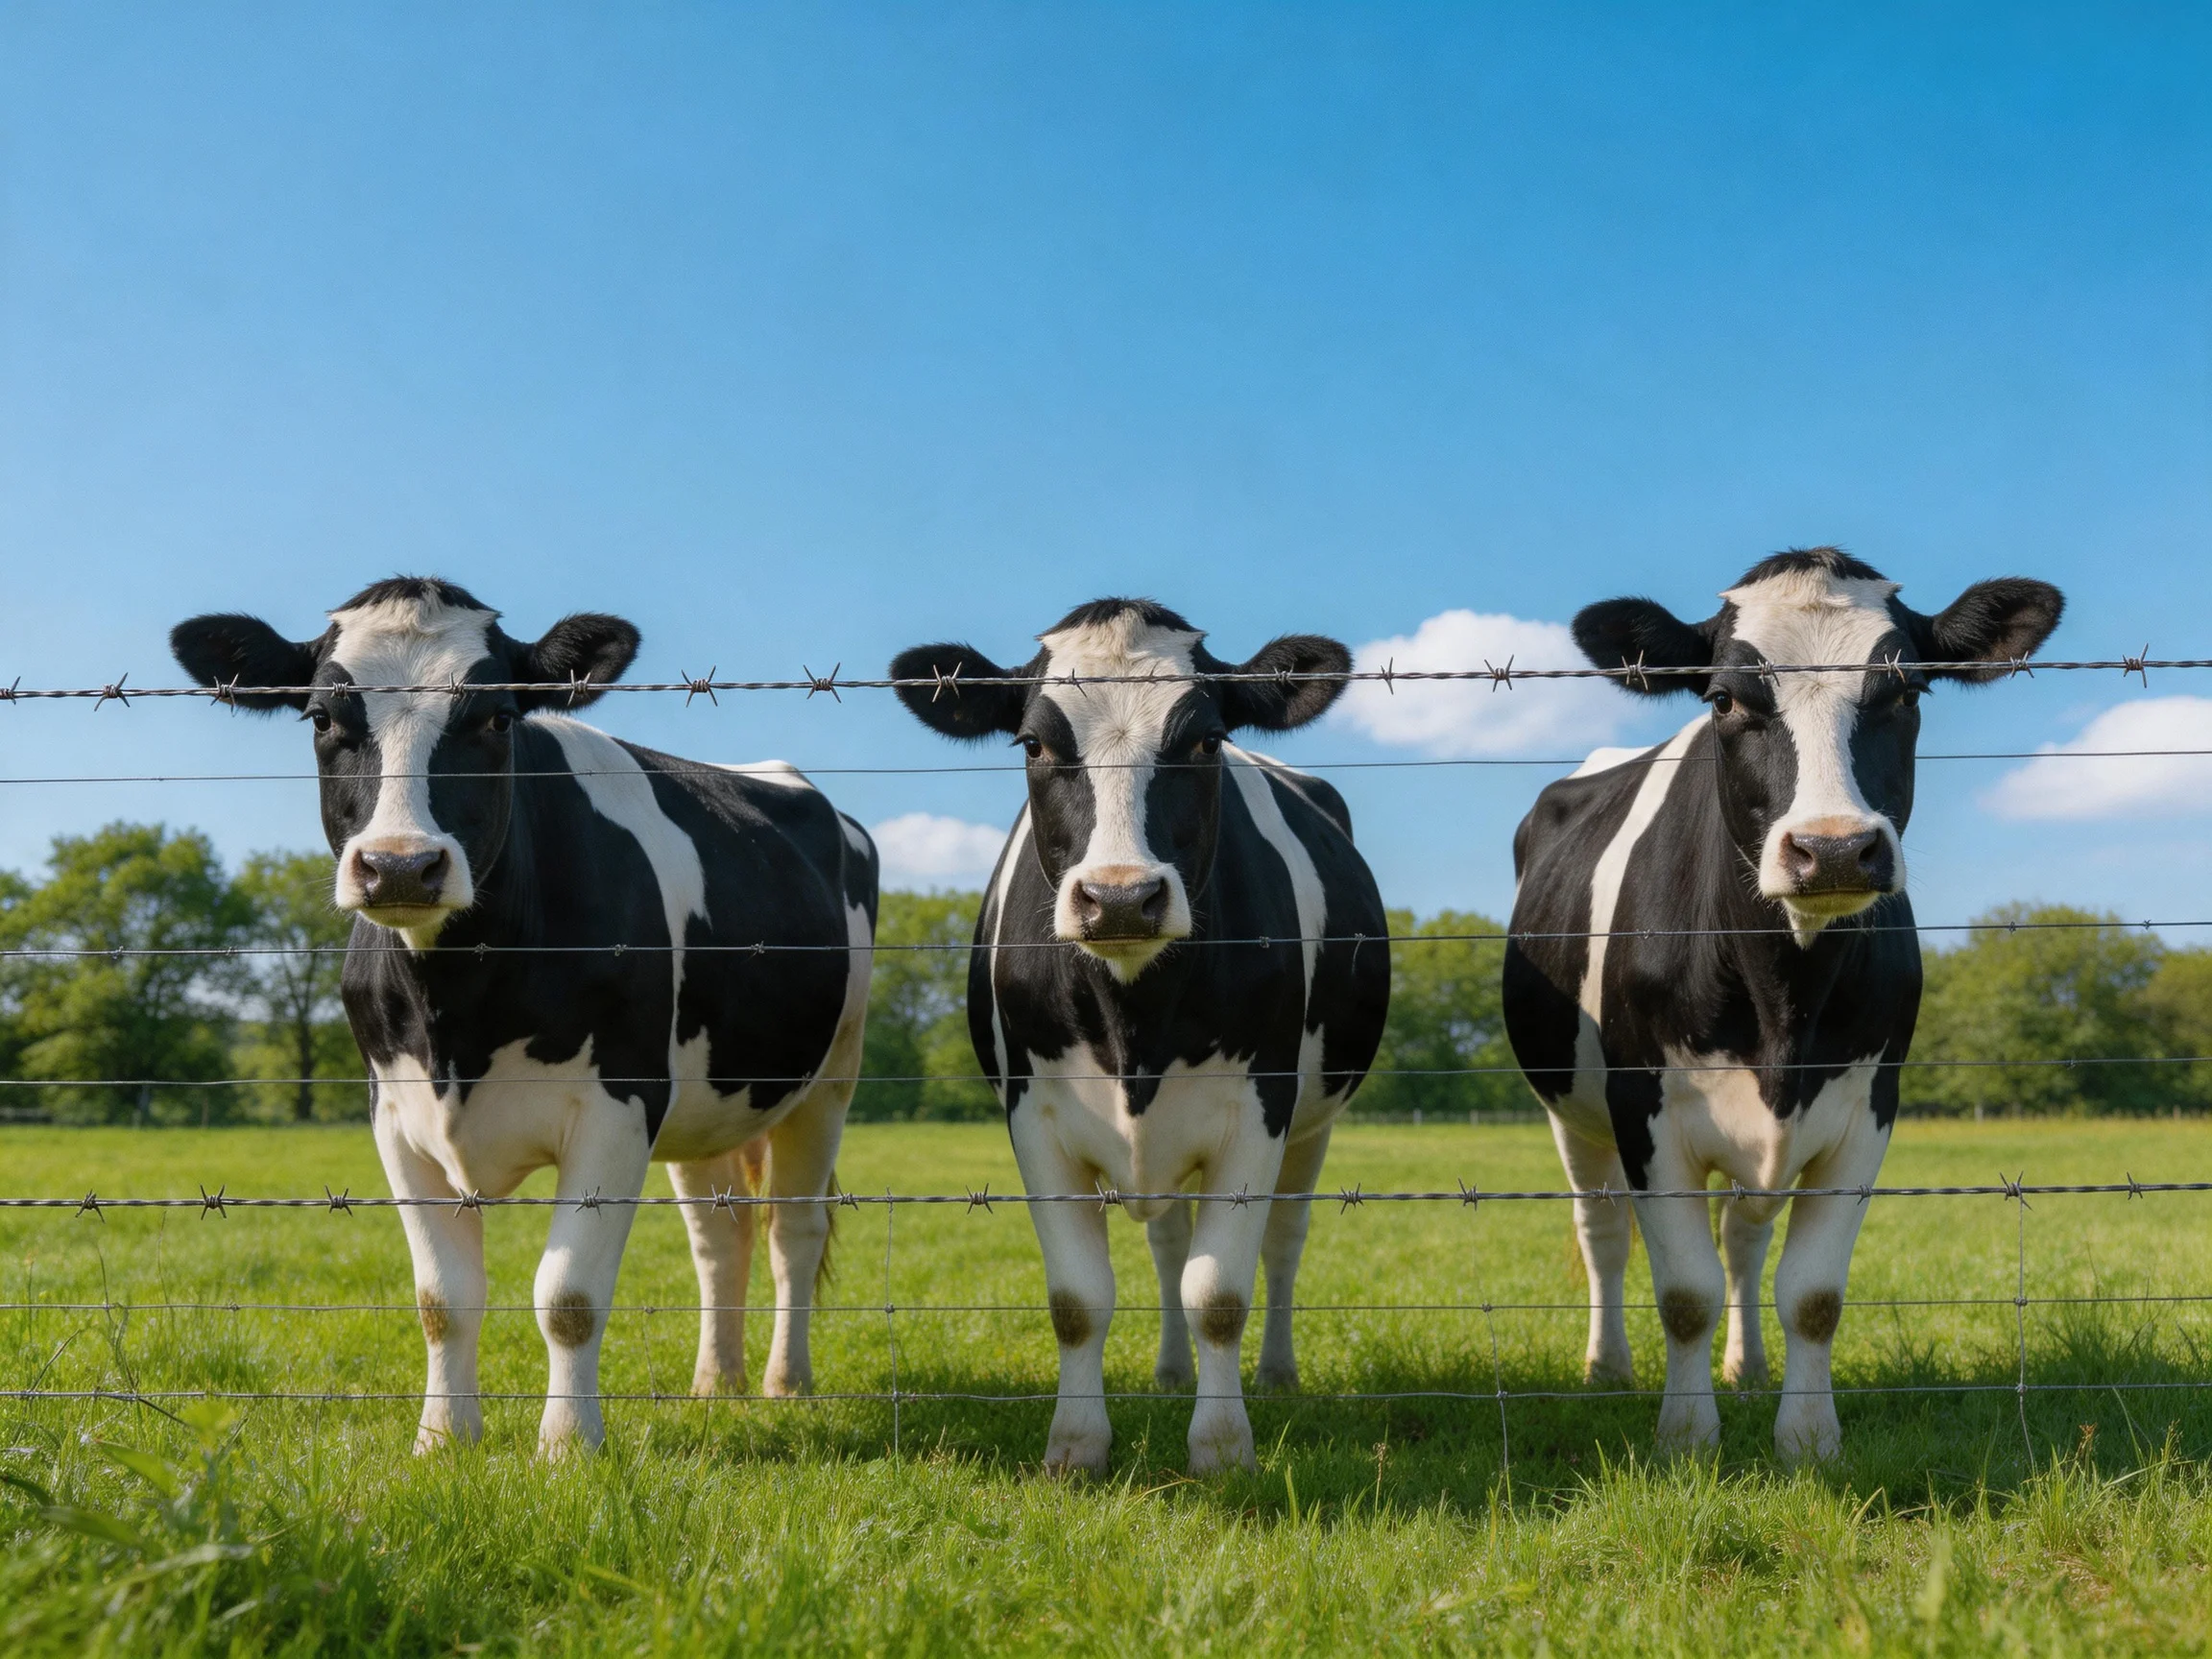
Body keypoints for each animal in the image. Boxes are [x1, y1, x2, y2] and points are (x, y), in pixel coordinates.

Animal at [171, 578, 877, 1455]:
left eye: (498, 717)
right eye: (322, 718)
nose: (401, 864)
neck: (456, 1010)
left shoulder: (620, 1103)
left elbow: (568, 1297)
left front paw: (569, 1448)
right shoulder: (394, 1114)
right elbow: (443, 1300)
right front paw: (443, 1442)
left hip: (831, 1076)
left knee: (794, 1230)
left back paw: (787, 1383)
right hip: (706, 1099)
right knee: (720, 1237)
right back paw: (718, 1384)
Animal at [890, 599, 1389, 1475]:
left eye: (1206, 741)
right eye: (1034, 743)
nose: (1121, 898)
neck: (1136, 1024)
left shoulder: (1260, 1111)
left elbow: (1218, 1293)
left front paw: (1222, 1448)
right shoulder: (1033, 1119)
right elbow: (1078, 1300)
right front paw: (1075, 1445)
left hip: (1310, 1124)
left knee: (1283, 1242)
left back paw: (1277, 1374)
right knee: (1167, 1244)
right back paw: (1168, 1373)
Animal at [1502, 547, 2063, 1461]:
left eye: (1907, 692)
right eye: (1725, 699)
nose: (1833, 848)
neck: (1782, 1001)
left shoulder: (1868, 1108)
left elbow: (1810, 1293)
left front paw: (1807, 1439)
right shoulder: (1645, 1111)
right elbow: (1683, 1293)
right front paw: (1687, 1438)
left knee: (1742, 1238)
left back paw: (1750, 1367)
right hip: (1570, 1111)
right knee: (1603, 1234)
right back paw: (1607, 1368)